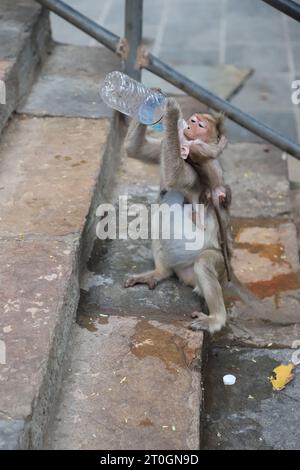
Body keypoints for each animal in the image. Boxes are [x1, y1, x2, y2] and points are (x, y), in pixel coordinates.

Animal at [124, 97, 232, 332]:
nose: (189, 125)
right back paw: (160, 272)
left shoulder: (198, 159)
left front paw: (171, 113)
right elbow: (135, 150)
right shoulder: (166, 146)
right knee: (162, 206)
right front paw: (152, 99)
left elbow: (176, 176)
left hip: (218, 264)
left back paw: (216, 319)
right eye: (193, 120)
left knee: (205, 263)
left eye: (201, 125)